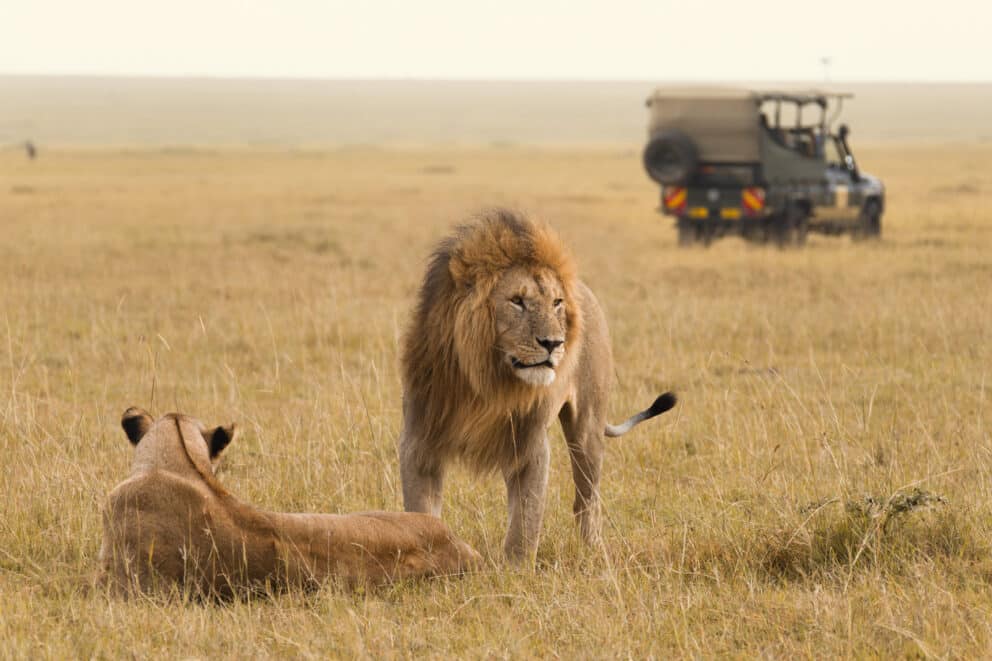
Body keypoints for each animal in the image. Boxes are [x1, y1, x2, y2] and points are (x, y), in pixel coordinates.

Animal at [399, 208, 677, 563]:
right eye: (517, 301)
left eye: (556, 302)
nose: (553, 343)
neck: (486, 382)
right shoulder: (420, 440)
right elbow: (420, 511)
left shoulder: (530, 445)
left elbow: (526, 520)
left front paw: (515, 571)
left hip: (587, 428)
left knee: (586, 500)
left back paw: (594, 551)